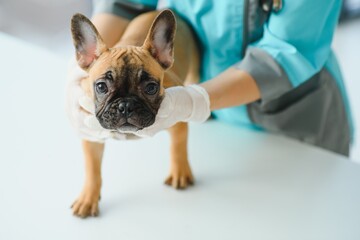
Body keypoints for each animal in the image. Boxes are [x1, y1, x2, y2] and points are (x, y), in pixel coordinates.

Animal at [70, 9, 200, 218]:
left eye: (151, 87)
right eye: (101, 87)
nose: (126, 105)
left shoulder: (179, 122)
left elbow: (178, 147)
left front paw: (179, 171)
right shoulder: (92, 137)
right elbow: (92, 170)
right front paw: (88, 198)